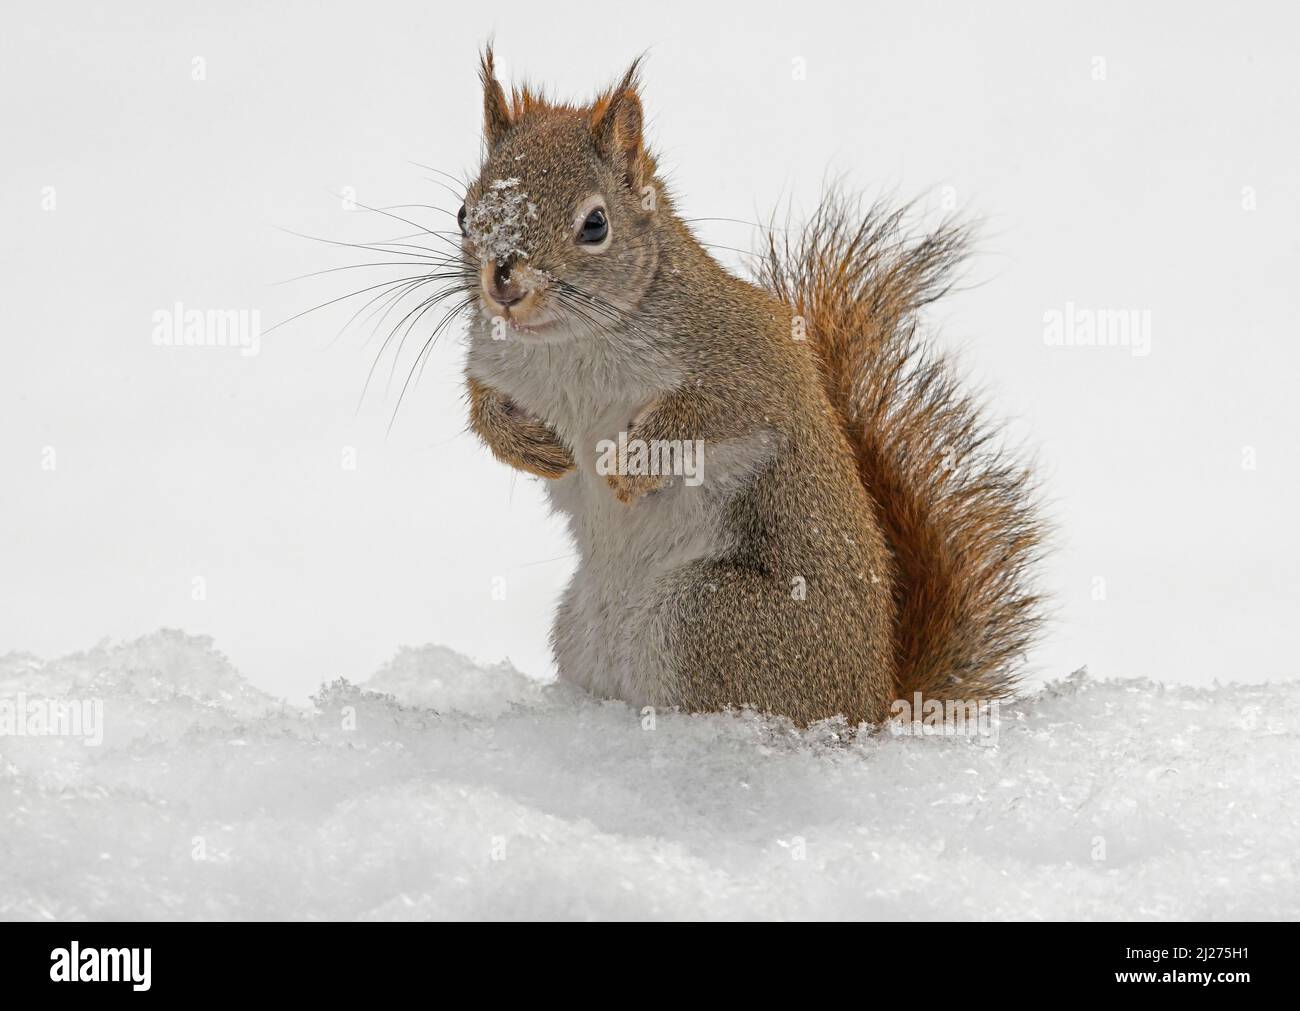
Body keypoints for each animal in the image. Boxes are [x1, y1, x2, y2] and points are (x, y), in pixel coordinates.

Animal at [457, 49, 1045, 722]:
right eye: (465, 212)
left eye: (595, 224)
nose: (503, 280)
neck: (565, 345)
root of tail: (872, 709)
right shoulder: (495, 365)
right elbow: (483, 408)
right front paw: (533, 448)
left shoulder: (746, 367)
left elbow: (708, 417)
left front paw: (629, 468)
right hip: (588, 629)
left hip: (707, 615)